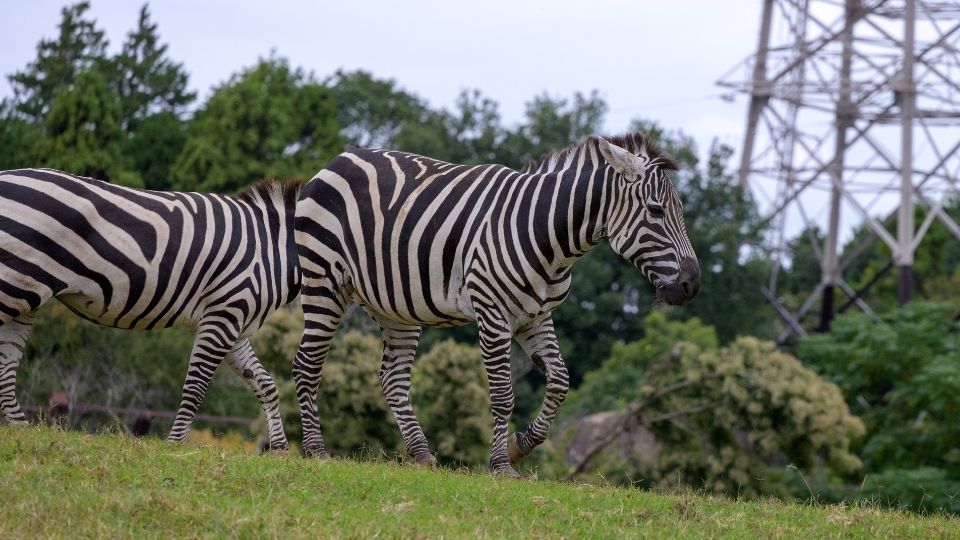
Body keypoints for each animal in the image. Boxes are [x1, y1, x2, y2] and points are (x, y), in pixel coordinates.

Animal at [0, 167, 300, 450]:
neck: (275, 250)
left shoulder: (234, 322)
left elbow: (264, 383)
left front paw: (279, 449)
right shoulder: (224, 313)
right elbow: (196, 385)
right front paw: (175, 444)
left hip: (25, 292)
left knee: (6, 364)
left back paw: (22, 429)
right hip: (14, 283)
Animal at [292, 132, 696, 476]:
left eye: (681, 212)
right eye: (656, 211)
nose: (691, 284)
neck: (547, 234)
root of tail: (341, 158)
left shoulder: (536, 316)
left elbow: (560, 382)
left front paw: (521, 447)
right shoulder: (492, 311)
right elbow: (503, 395)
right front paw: (501, 465)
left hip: (394, 305)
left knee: (393, 379)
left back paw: (421, 455)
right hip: (324, 282)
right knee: (306, 365)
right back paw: (316, 451)